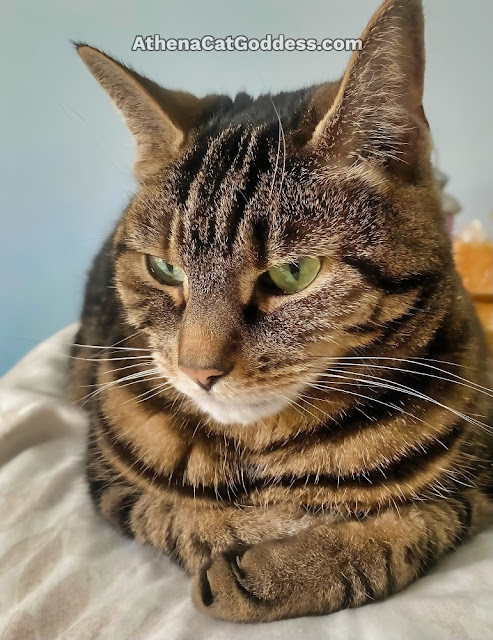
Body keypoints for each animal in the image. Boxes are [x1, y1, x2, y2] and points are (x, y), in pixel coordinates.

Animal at [70, 0, 492, 624]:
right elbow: (182, 519)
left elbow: (404, 533)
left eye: (294, 274)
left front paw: (276, 570)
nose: (198, 370)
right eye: (165, 269)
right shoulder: (108, 480)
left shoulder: (477, 483)